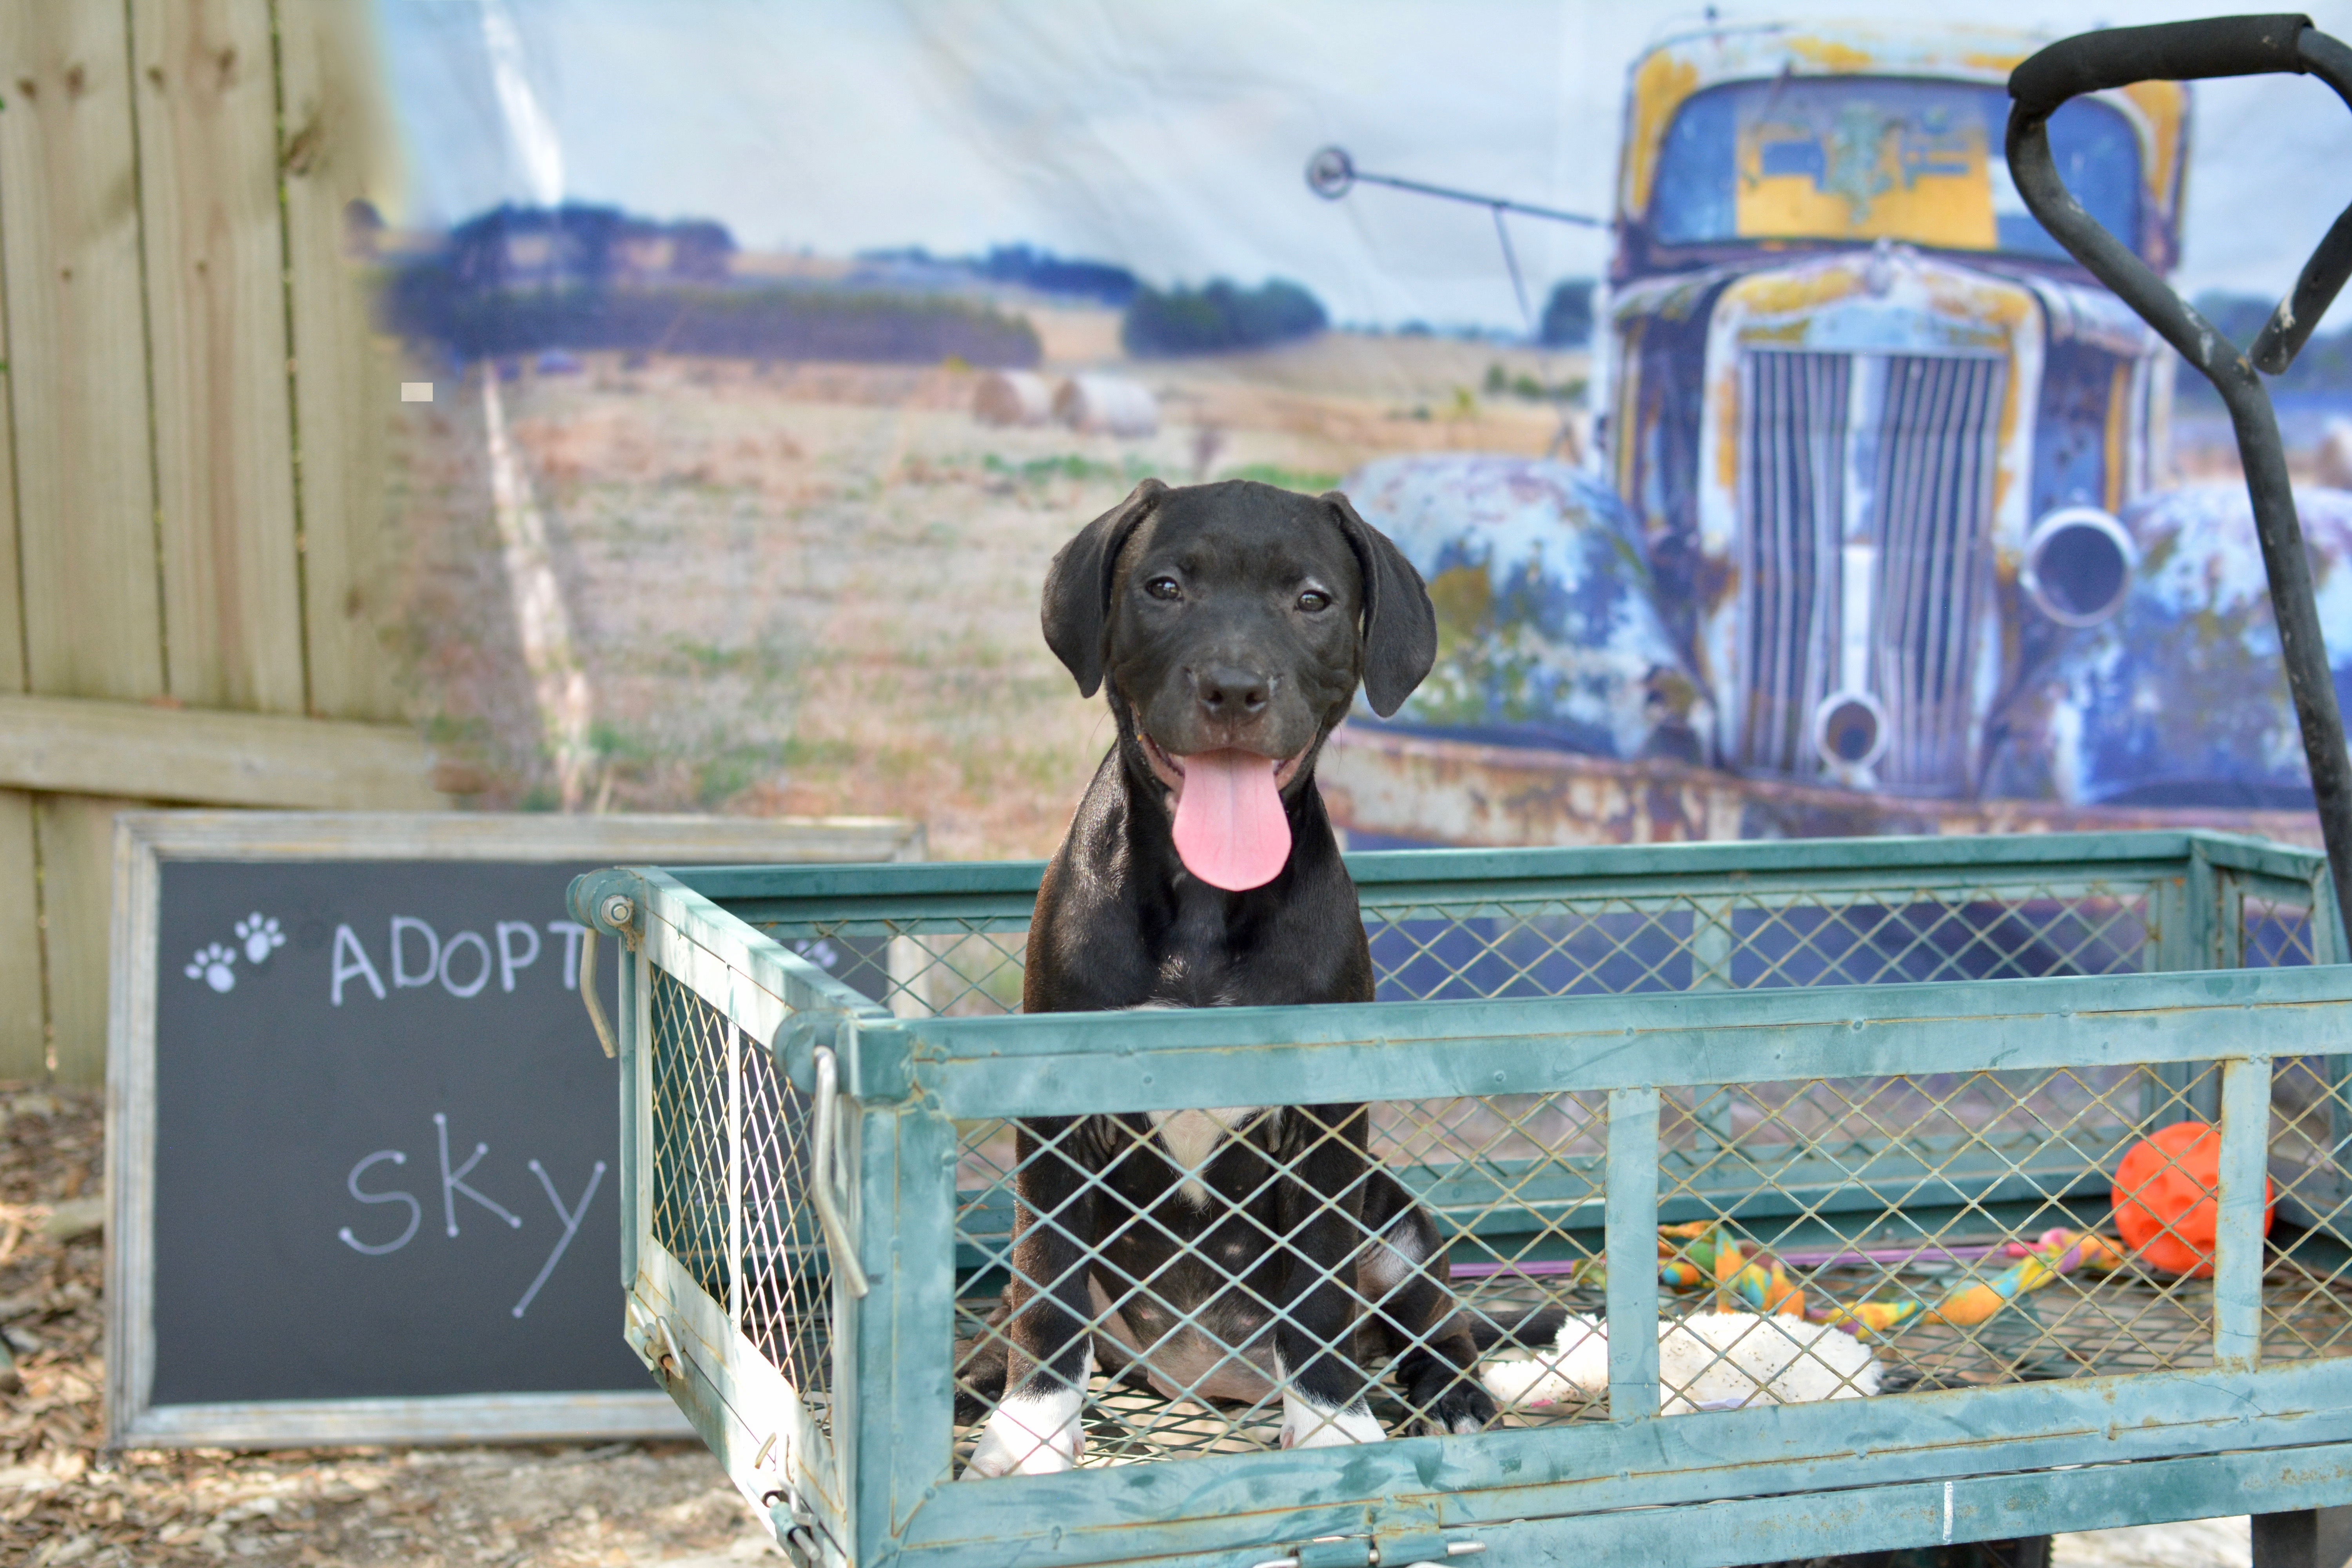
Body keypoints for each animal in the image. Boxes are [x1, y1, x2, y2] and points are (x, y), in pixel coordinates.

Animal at [960, 479, 1496, 1486]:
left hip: (1398, 1225)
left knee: (1424, 1321)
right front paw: (1033, 1431)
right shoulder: (1053, 1111)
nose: (1236, 689)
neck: (1207, 903)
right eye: (1165, 587)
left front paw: (1331, 1424)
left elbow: (1319, 1289)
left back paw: (1450, 1392)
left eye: (1314, 600)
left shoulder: (1326, 1125)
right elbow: (1046, 1281)